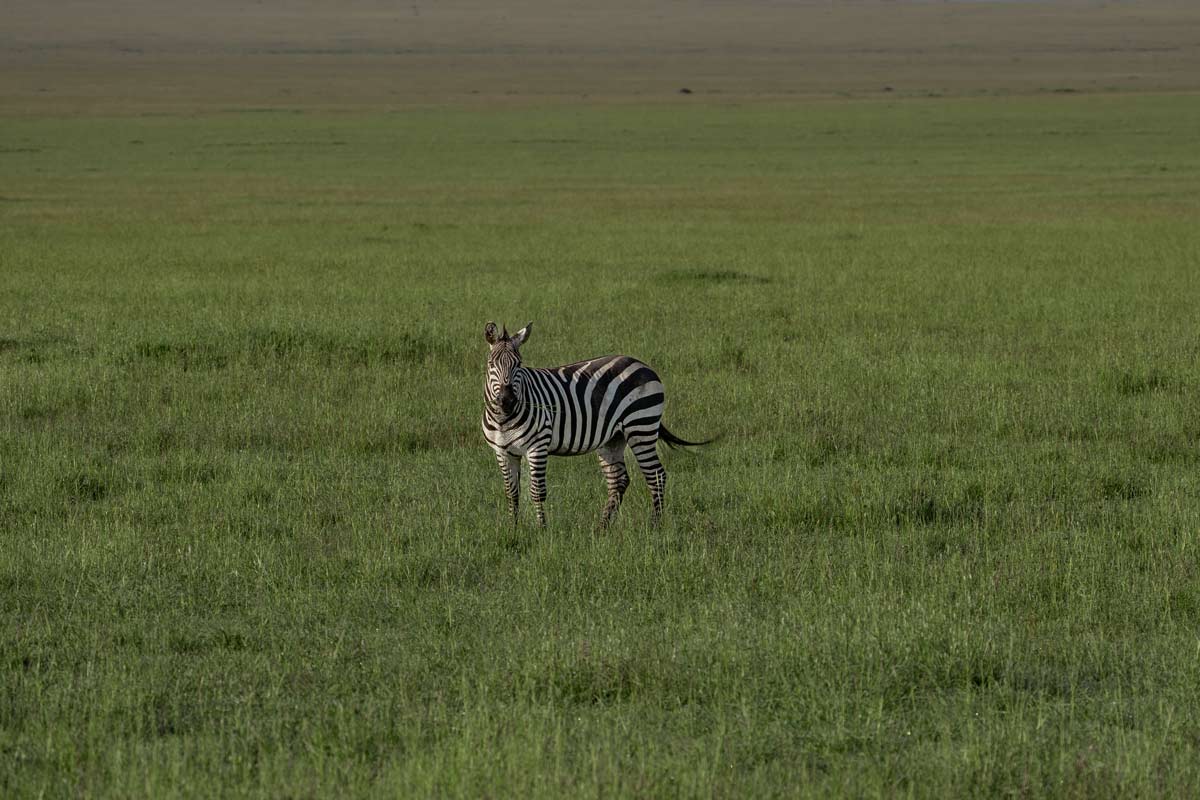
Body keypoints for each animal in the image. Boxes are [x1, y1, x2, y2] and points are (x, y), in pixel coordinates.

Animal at [477, 321, 700, 527]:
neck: (504, 419)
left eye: (519, 364)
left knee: (656, 475)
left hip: (641, 427)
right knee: (619, 480)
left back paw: (655, 526)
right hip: (613, 439)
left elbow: (536, 491)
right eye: (491, 364)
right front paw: (513, 528)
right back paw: (602, 528)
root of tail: (641, 364)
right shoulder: (503, 452)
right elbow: (511, 492)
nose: (507, 401)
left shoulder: (537, 447)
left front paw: (542, 530)